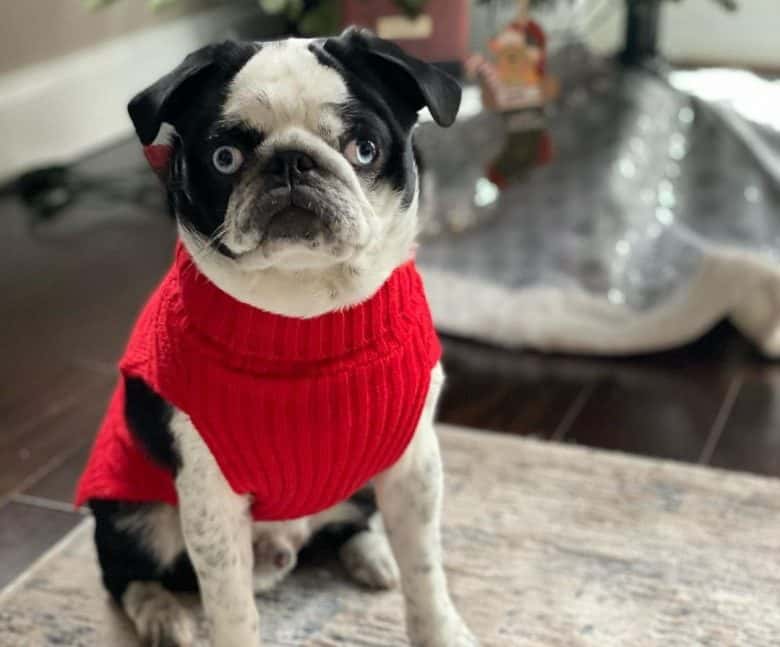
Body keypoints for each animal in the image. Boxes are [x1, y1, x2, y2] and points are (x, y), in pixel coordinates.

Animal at [76, 26, 476, 647]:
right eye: (224, 158)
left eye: (364, 149)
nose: (292, 162)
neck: (305, 313)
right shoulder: (210, 501)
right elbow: (230, 605)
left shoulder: (414, 465)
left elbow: (426, 573)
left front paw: (440, 629)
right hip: (133, 512)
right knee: (125, 573)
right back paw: (161, 614)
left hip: (362, 482)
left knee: (352, 526)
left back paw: (373, 555)